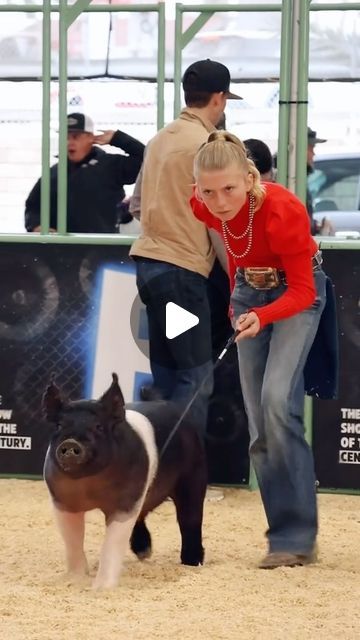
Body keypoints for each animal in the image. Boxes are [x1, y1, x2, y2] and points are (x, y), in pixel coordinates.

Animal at [42, 376, 207, 592]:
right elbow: (72, 540)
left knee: (190, 518)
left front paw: (102, 588)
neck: (88, 486)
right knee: (143, 514)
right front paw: (74, 578)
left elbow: (112, 542)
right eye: (59, 425)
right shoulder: (63, 502)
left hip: (194, 475)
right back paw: (144, 552)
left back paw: (192, 562)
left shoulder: (125, 503)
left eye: (98, 426)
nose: (71, 443)